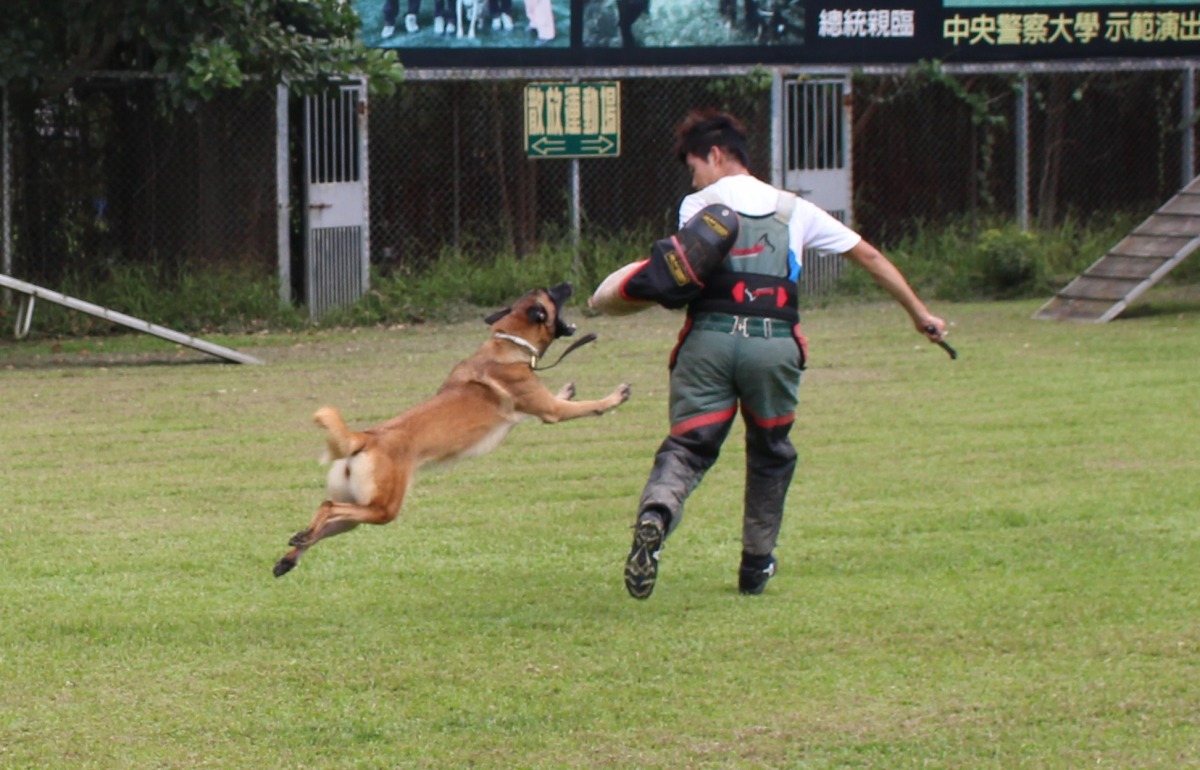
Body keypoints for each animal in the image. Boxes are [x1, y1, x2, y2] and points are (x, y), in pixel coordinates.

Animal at [272, 281, 628, 575]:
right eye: (552, 294)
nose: (568, 282)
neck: (509, 343)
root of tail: (364, 438)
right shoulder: (551, 411)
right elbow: (585, 406)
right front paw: (614, 397)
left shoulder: (544, 405)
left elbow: (563, 398)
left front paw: (569, 388)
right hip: (382, 508)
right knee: (328, 506)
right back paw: (303, 538)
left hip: (359, 512)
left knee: (322, 525)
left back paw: (292, 553)